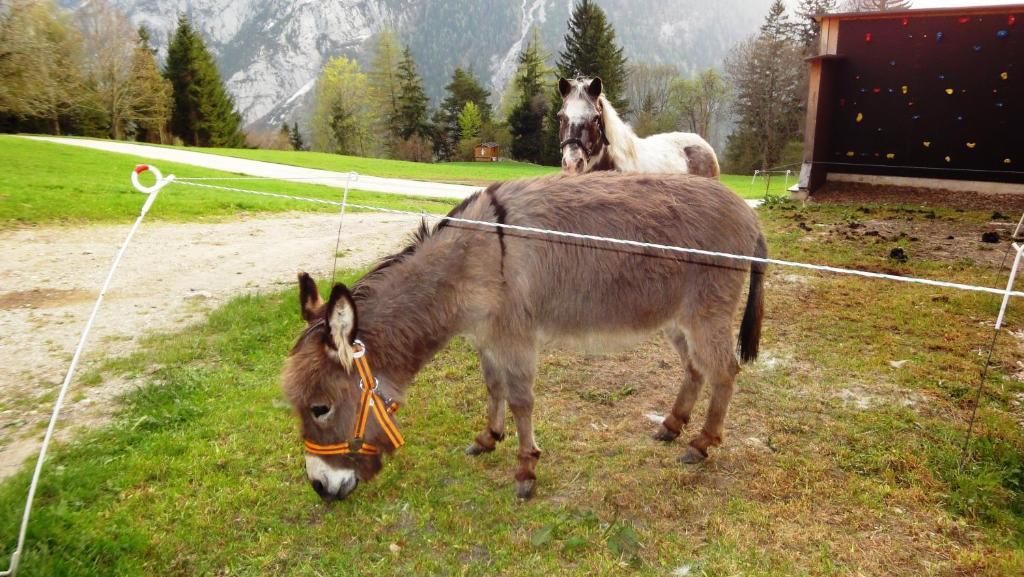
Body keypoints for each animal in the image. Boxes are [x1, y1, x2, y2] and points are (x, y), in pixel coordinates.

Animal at [284, 171, 765, 502]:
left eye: (320, 408)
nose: (319, 487)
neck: (470, 261)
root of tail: (747, 211)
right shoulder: (486, 338)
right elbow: (493, 387)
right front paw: (488, 438)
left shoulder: (514, 336)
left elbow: (520, 401)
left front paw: (525, 470)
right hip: (675, 319)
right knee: (695, 368)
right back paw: (672, 426)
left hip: (706, 313)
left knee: (725, 371)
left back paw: (701, 444)